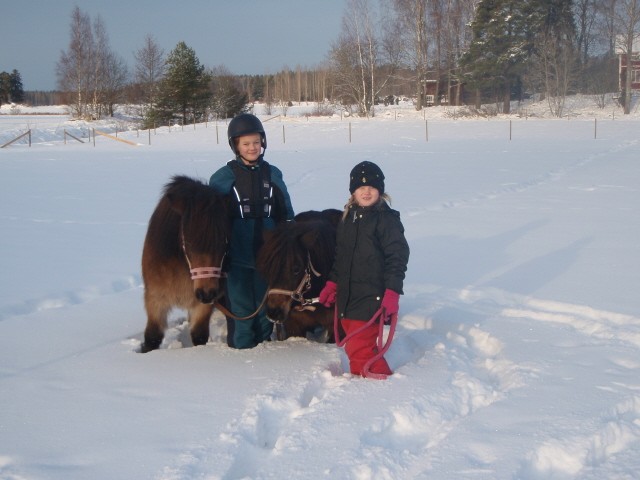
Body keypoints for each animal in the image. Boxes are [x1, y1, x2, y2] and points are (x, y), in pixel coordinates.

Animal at [142, 176, 230, 352]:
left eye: (224, 242)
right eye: (188, 242)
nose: (207, 293)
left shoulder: (201, 306)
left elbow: (199, 335)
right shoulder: (155, 299)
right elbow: (152, 337)